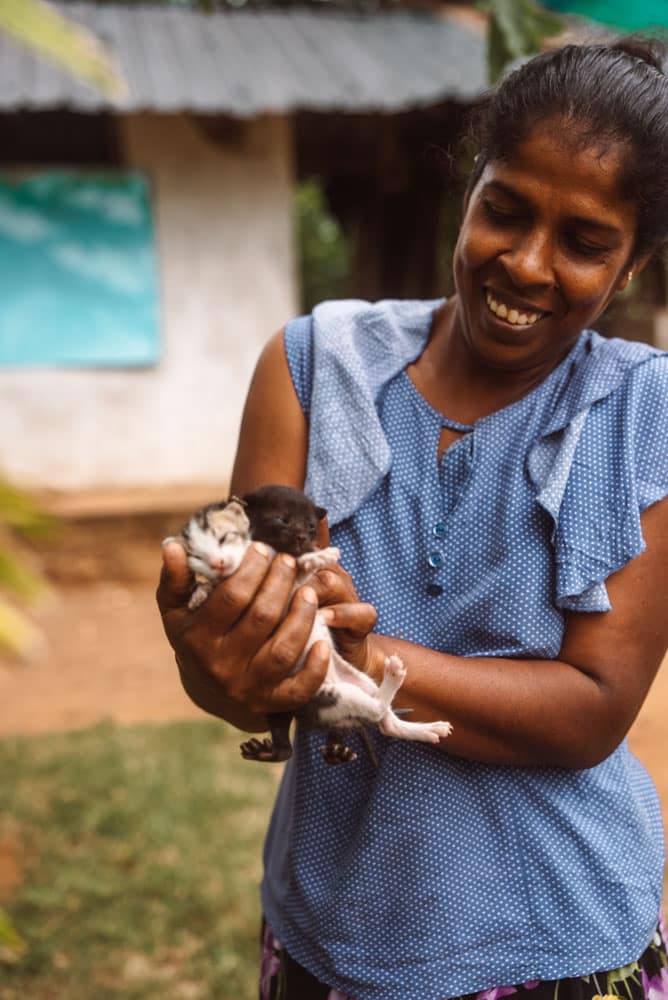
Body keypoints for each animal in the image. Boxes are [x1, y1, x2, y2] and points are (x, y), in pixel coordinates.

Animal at [167, 484, 452, 764]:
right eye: (281, 520)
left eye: (312, 526)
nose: (304, 539)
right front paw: (200, 593)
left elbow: (300, 567)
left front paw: (317, 555)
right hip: (328, 698)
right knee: (378, 712)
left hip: (361, 680)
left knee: (385, 719)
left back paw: (427, 725)